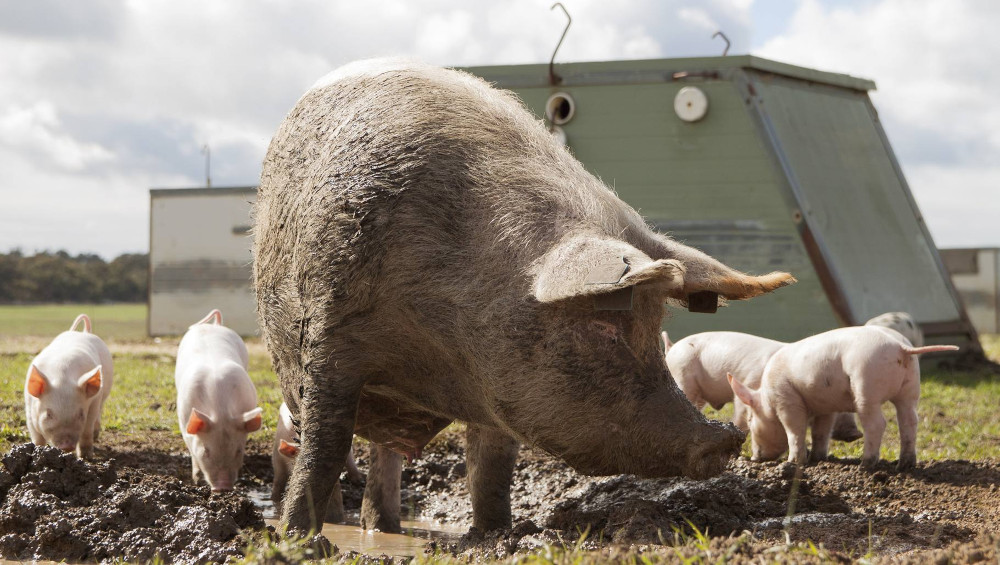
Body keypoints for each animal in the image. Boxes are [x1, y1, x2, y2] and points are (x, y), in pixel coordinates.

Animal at [24, 314, 113, 458]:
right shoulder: (29, 408)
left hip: (103, 395)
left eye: (81, 414)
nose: (67, 445)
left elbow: (86, 431)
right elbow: (37, 437)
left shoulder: (93, 402)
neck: (62, 377)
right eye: (48, 414)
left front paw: (86, 457)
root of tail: (84, 332)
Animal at [175, 309, 262, 491]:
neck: (220, 407)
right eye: (206, 450)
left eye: (238, 451)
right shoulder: (183, 420)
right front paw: (195, 479)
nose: (223, 487)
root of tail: (215, 325)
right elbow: (191, 449)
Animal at [253, 58, 795, 534]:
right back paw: (338, 528)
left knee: (388, 455)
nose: (725, 440)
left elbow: (492, 466)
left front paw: (493, 535)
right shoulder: (331, 338)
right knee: (326, 444)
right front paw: (300, 541)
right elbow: (325, 447)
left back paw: (384, 527)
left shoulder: (499, 387)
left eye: (655, 320)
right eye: (603, 324)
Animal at [728, 325, 959, 470]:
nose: (755, 458)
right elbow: (821, 431)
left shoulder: (786, 399)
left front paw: (793, 463)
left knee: (877, 423)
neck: (768, 398)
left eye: (751, 419)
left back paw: (865, 465)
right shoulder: (825, 406)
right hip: (911, 387)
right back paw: (904, 465)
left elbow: (794, 430)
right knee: (909, 420)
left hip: (866, 384)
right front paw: (818, 459)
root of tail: (901, 347)